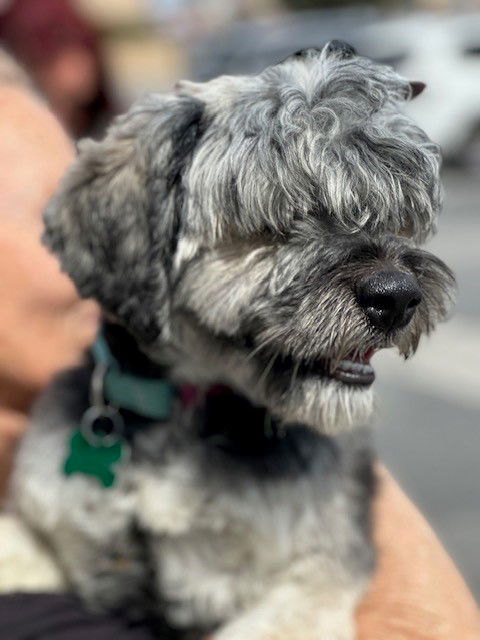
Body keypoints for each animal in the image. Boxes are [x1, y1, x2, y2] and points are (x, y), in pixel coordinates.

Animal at [10, 42, 454, 636]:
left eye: (391, 216)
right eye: (274, 223)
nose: (399, 296)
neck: (185, 417)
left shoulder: (313, 584)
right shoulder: (51, 530)